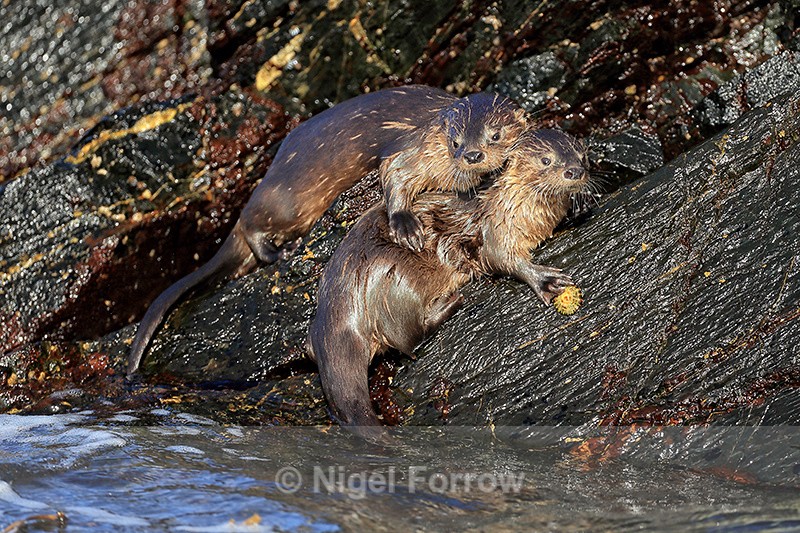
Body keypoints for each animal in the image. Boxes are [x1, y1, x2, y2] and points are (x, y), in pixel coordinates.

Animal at [127, 85, 527, 376]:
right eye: (455, 141)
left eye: (495, 134)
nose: (471, 155)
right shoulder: (410, 150)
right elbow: (396, 175)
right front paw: (404, 223)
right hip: (288, 201)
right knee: (253, 225)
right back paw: (276, 251)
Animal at [307, 129, 589, 431]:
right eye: (545, 160)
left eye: (581, 155)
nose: (575, 171)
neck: (517, 204)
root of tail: (342, 317)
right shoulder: (495, 226)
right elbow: (502, 258)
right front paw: (544, 279)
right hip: (394, 277)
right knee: (407, 339)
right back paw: (449, 303)